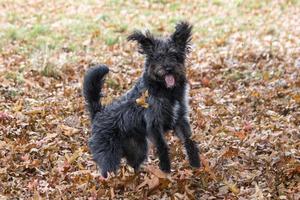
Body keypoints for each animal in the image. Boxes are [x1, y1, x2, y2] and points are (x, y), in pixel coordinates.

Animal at [83, 22, 200, 178]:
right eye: (158, 57)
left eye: (174, 54)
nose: (168, 68)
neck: (166, 91)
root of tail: (98, 113)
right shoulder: (154, 124)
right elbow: (162, 146)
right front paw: (165, 169)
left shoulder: (180, 119)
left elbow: (189, 140)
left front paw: (195, 162)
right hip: (109, 155)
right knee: (106, 170)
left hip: (138, 150)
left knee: (134, 165)